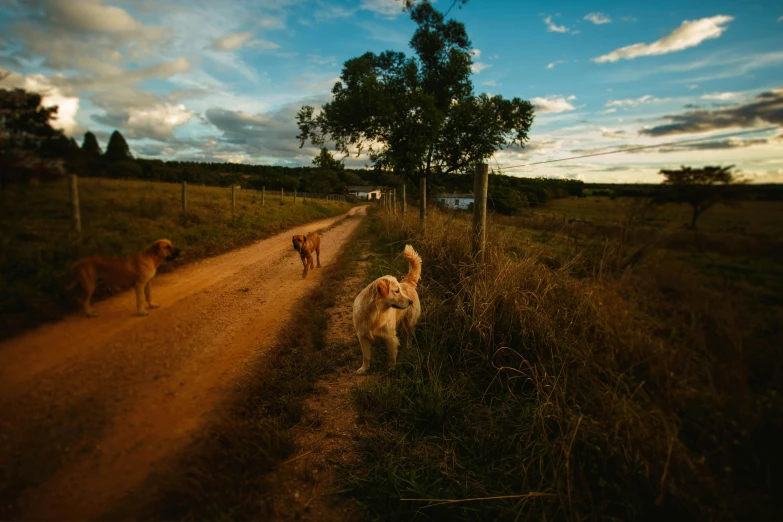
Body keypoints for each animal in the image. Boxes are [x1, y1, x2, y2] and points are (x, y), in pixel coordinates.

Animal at [354, 244, 422, 374]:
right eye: (397, 291)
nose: (410, 302)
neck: (375, 312)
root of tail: (408, 283)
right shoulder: (362, 336)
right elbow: (366, 356)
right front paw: (364, 368)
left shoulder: (390, 337)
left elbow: (391, 356)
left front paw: (391, 369)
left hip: (410, 321)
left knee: (410, 335)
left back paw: (408, 348)